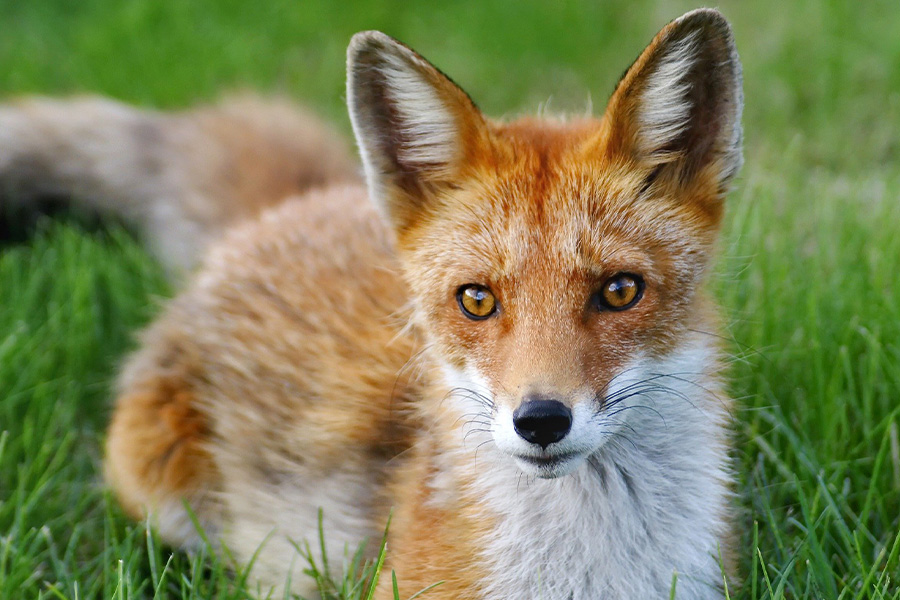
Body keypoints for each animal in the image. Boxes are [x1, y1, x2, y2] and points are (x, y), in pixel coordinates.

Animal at [1, 8, 743, 599]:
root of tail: (291, 205)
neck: (588, 573)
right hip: (158, 487)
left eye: (619, 291)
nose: (540, 421)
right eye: (477, 300)